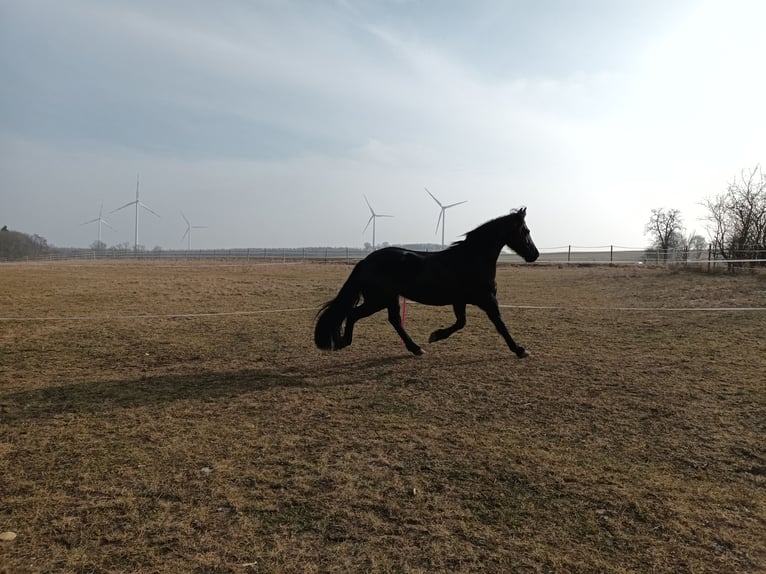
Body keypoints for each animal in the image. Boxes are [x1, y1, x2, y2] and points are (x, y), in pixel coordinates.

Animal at [314, 208, 539, 358]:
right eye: (525, 231)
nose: (534, 255)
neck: (471, 258)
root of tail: (365, 261)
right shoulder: (487, 299)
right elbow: (500, 324)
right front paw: (520, 350)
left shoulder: (460, 301)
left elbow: (461, 323)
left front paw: (436, 335)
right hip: (378, 300)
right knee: (355, 314)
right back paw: (344, 342)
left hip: (388, 299)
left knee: (393, 320)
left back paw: (414, 348)